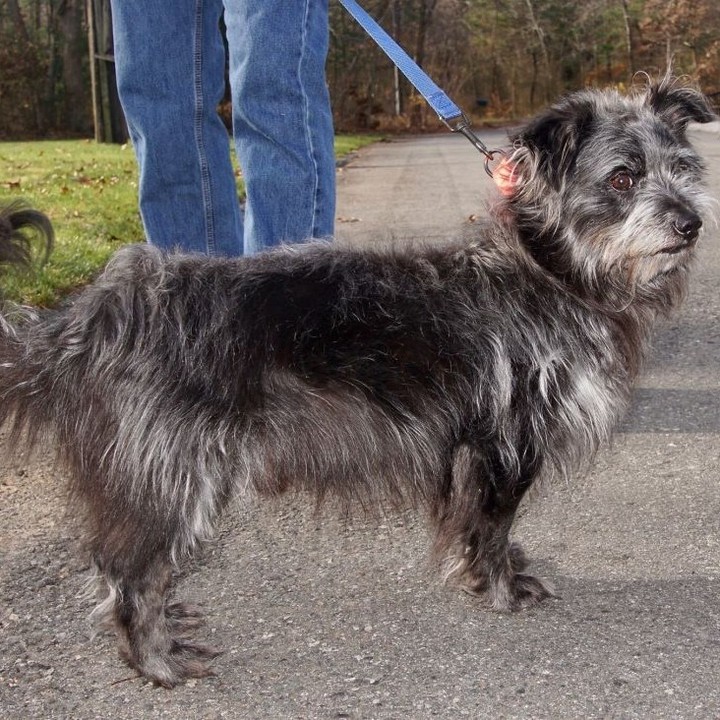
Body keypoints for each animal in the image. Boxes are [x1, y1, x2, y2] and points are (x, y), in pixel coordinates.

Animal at [0, 77, 716, 688]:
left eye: (683, 170)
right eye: (622, 177)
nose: (690, 223)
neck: (551, 270)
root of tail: (96, 313)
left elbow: (482, 528)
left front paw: (501, 574)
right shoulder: (504, 445)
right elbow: (491, 526)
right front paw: (501, 591)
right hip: (176, 475)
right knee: (128, 574)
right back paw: (156, 661)